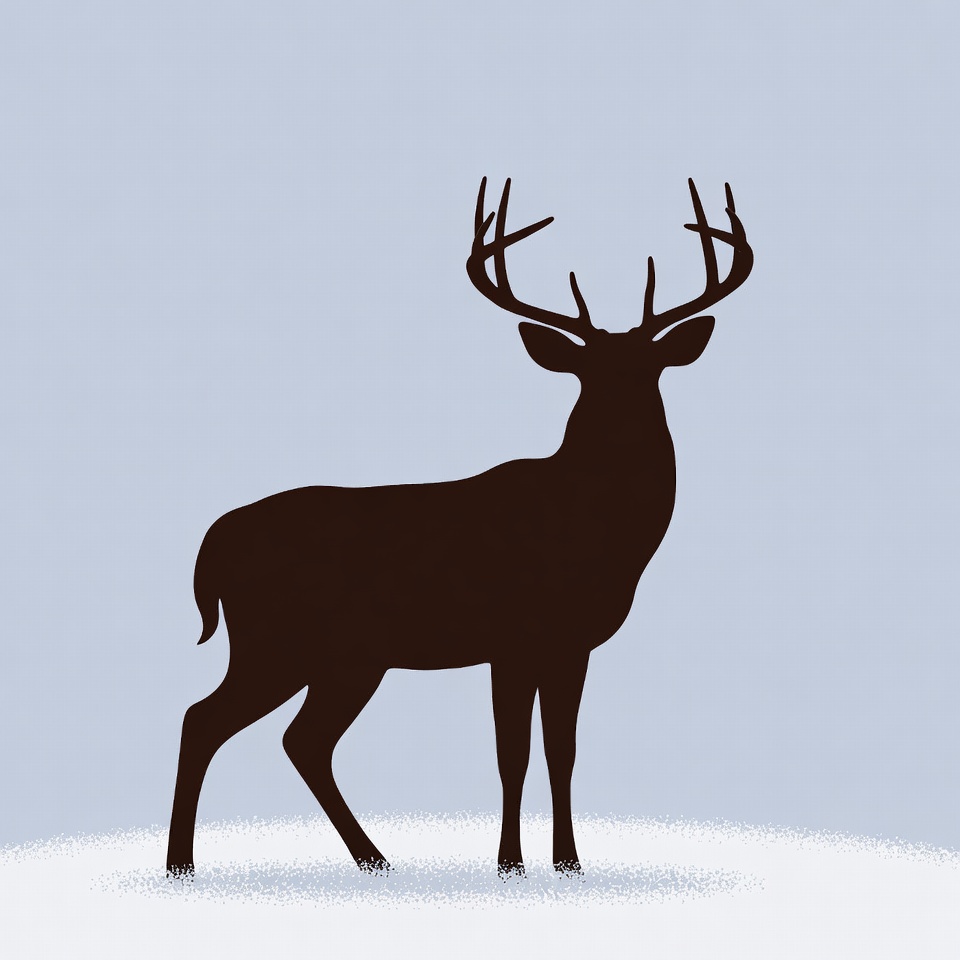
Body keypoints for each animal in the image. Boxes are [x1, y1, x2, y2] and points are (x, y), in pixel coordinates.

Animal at [166, 177, 753, 878]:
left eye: (650, 369)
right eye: (588, 373)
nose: (622, 423)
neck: (592, 533)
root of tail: (212, 544)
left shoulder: (571, 644)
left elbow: (561, 752)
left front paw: (567, 864)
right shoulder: (513, 636)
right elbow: (512, 754)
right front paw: (510, 865)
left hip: (342, 657)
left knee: (297, 740)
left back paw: (371, 860)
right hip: (277, 641)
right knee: (206, 720)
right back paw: (183, 867)